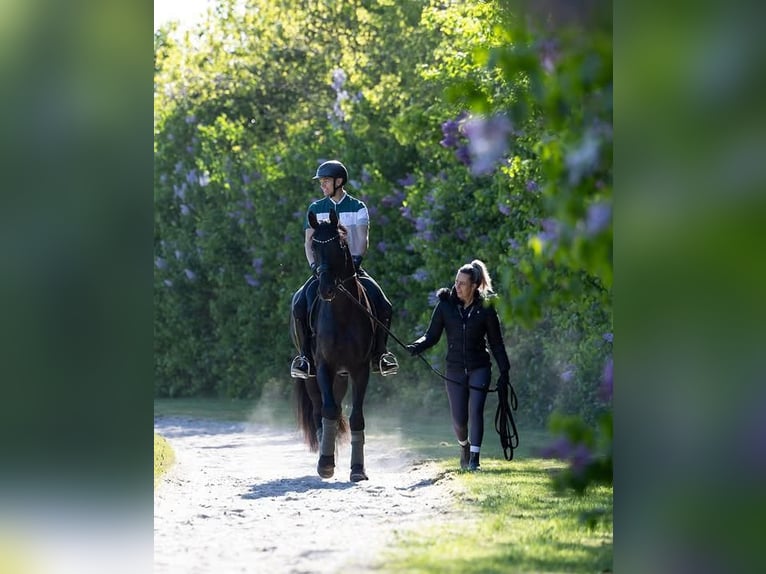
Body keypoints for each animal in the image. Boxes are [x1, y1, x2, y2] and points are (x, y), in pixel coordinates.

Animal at [290, 208, 375, 482]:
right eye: (314, 246)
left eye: (339, 244)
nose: (326, 288)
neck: (342, 314)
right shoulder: (324, 367)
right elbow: (327, 412)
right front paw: (326, 464)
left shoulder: (360, 370)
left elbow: (356, 417)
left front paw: (358, 469)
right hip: (312, 377)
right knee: (322, 411)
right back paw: (324, 455)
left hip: (341, 376)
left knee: (337, 408)